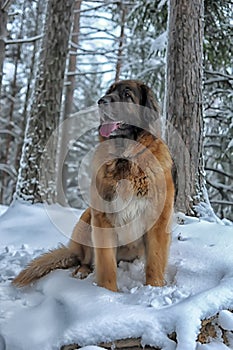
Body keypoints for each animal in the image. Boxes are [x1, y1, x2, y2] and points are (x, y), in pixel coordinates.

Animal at [12, 80, 173, 292]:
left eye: (127, 94)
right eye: (109, 91)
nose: (101, 101)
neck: (125, 161)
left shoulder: (158, 221)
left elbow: (155, 261)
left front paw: (154, 287)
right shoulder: (102, 219)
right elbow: (106, 264)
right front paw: (107, 293)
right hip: (87, 219)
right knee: (85, 259)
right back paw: (82, 271)